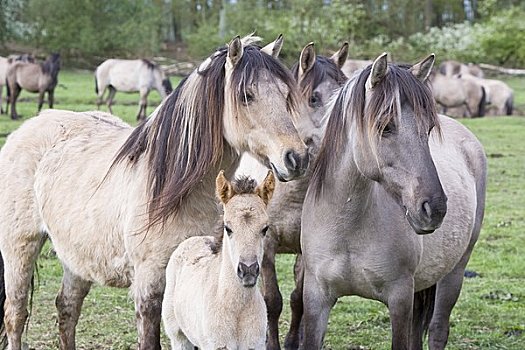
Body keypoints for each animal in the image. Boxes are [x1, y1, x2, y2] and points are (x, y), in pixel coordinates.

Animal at [163, 170, 274, 350]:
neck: (236, 311)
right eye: (228, 228)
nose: (248, 270)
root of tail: (194, 239)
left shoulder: (256, 345)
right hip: (178, 336)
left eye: (265, 228)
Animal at [298, 53, 488, 348]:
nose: (434, 209)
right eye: (385, 126)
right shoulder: (316, 297)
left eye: (429, 129)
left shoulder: (399, 298)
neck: (347, 226)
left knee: (437, 330)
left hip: (454, 272)